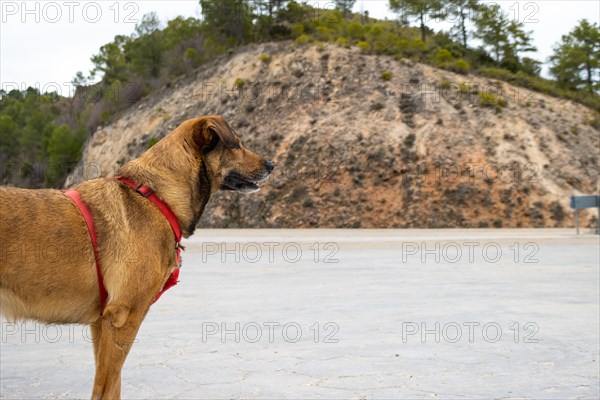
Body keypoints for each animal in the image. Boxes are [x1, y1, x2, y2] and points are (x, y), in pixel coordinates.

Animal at [0, 115, 274, 396]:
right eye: (236, 144)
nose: (271, 165)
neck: (158, 197)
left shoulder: (102, 324)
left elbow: (114, 385)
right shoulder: (124, 317)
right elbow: (106, 387)